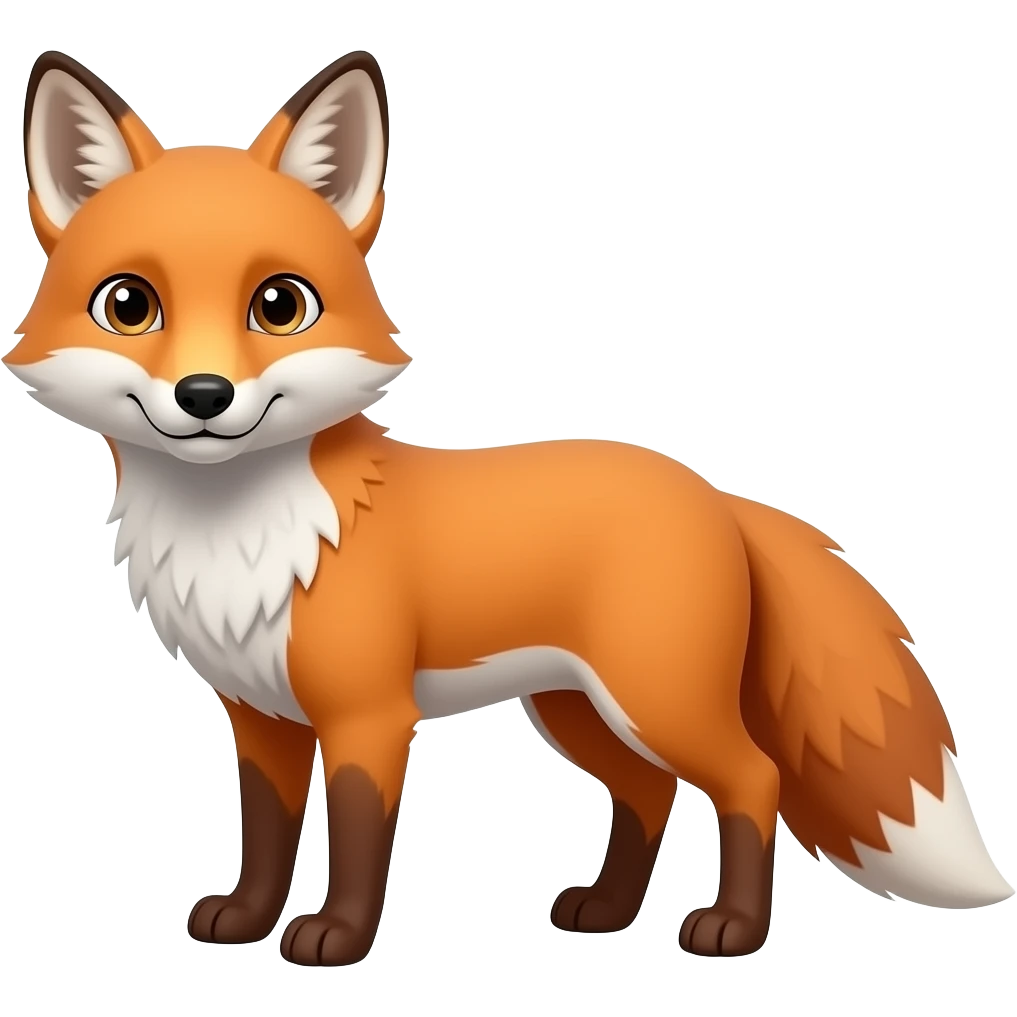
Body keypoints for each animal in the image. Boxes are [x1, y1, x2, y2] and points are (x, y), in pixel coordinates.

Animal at [7, 48, 1014, 967]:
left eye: (280, 305)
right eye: (130, 305)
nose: (205, 395)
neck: (243, 534)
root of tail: (713, 492)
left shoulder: (369, 715)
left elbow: (359, 839)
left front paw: (337, 936)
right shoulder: (262, 717)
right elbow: (265, 834)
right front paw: (247, 921)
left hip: (654, 698)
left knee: (749, 779)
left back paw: (731, 929)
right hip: (577, 710)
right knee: (646, 794)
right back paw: (605, 913)